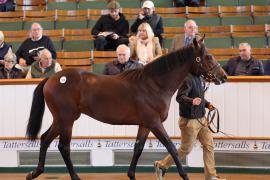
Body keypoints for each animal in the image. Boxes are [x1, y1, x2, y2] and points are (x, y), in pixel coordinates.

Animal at [26, 37, 227, 179]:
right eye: (208, 56)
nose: (223, 76)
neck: (154, 84)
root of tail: (52, 79)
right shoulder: (154, 123)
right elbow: (171, 147)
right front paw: (184, 175)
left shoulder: (145, 124)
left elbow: (138, 148)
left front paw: (131, 175)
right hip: (67, 120)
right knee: (63, 146)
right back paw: (74, 176)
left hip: (61, 119)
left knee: (45, 139)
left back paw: (35, 173)